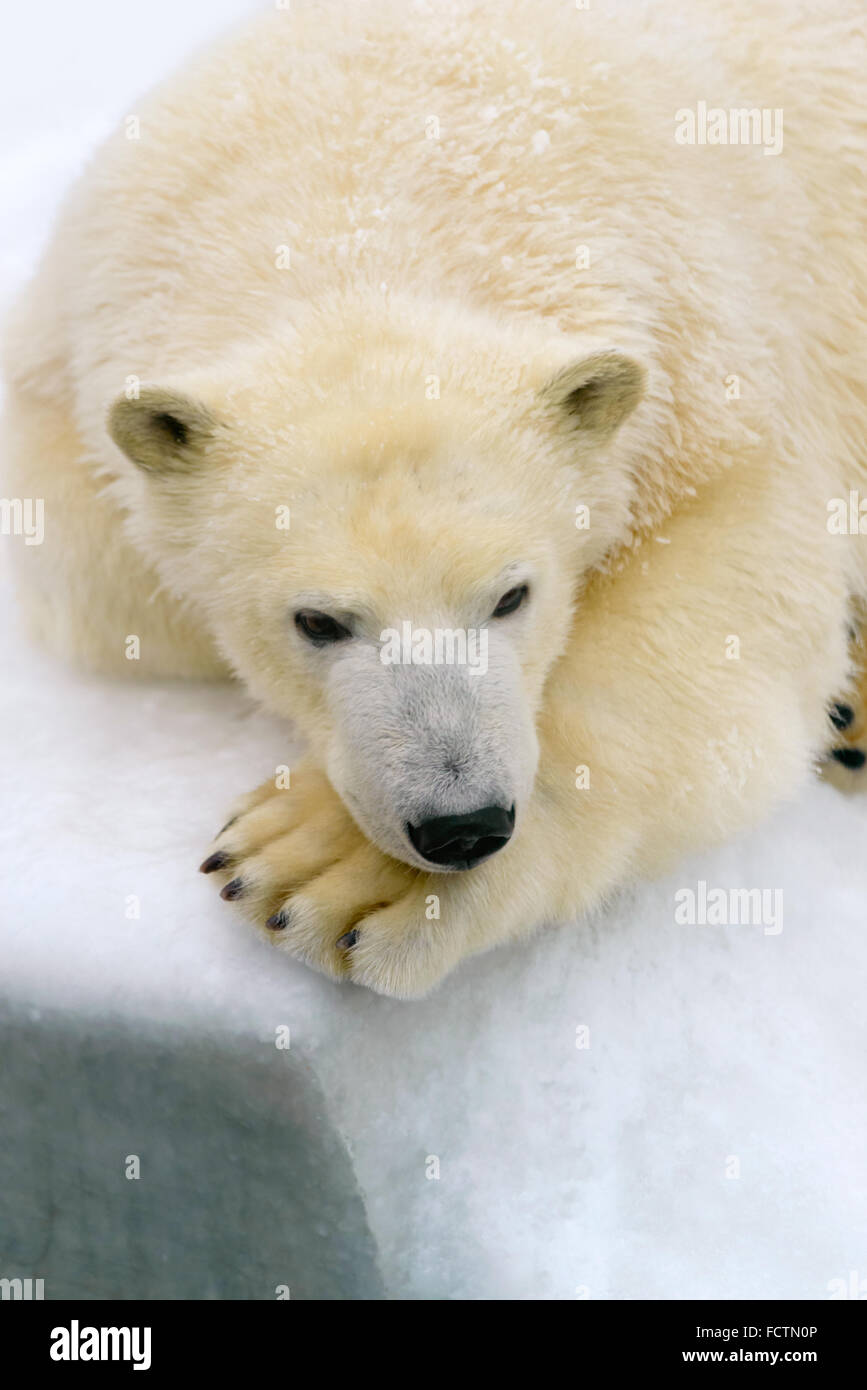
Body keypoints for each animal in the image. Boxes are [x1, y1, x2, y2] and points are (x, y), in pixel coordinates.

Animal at [5, 2, 867, 1000]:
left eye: (511, 595)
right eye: (316, 621)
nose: (461, 826)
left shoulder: (711, 377)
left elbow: (728, 614)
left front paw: (323, 868)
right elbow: (107, 589)